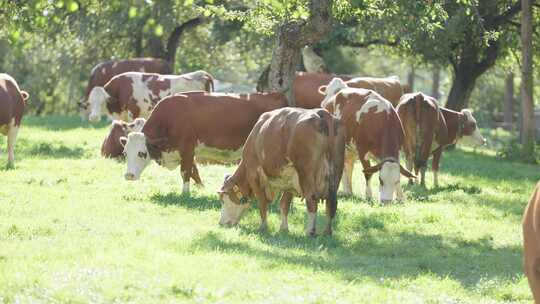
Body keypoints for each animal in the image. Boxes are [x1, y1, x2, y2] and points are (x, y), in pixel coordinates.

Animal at [118, 91, 286, 194]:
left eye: (141, 153)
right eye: (125, 153)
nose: (129, 175)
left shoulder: (187, 149)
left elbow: (185, 172)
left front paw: (185, 193)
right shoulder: (188, 151)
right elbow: (194, 171)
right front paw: (201, 188)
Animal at [217, 108, 344, 236]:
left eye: (222, 199)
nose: (220, 223)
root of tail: (321, 113)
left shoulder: (253, 174)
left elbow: (262, 202)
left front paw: (263, 227)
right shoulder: (289, 180)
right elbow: (284, 204)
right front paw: (283, 228)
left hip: (306, 174)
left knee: (312, 200)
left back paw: (310, 231)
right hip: (336, 173)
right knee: (331, 203)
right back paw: (327, 232)